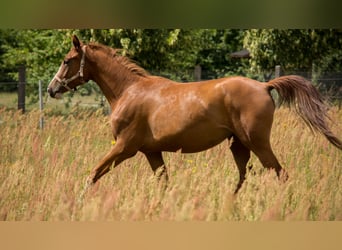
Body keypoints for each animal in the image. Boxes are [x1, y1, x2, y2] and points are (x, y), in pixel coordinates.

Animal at [47, 36, 340, 193]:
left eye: (66, 60)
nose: (51, 88)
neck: (128, 91)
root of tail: (264, 85)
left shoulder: (125, 147)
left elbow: (93, 174)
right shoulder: (151, 152)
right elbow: (163, 182)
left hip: (257, 143)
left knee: (280, 173)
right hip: (239, 145)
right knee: (244, 178)